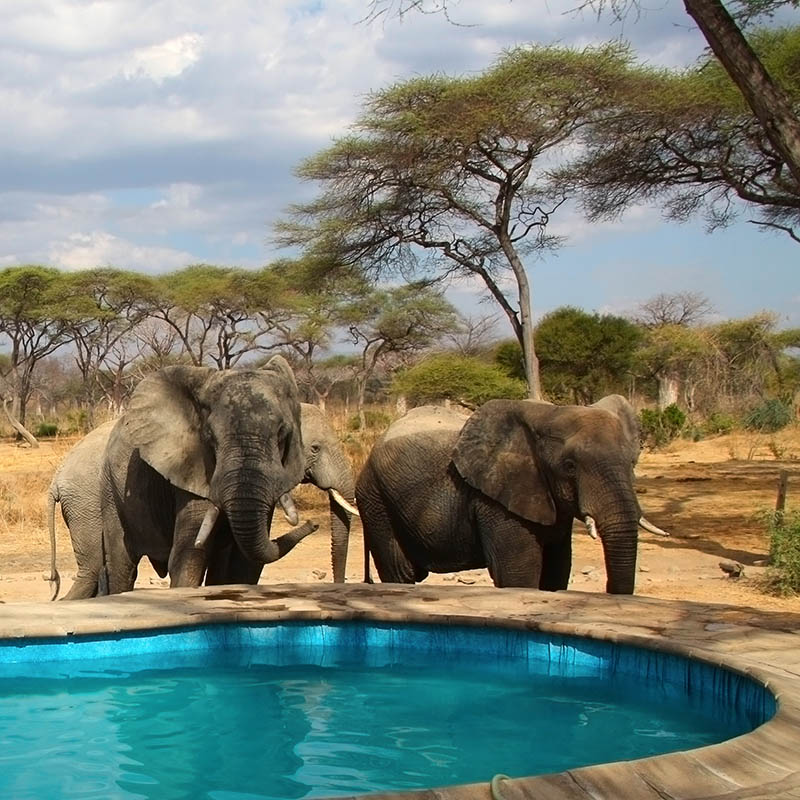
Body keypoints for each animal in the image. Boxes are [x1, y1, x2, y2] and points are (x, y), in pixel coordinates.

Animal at [356, 398, 664, 592]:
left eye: (633, 462)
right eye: (569, 466)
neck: (548, 414)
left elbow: (556, 572)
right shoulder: (495, 500)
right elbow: (518, 575)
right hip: (376, 499)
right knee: (401, 573)